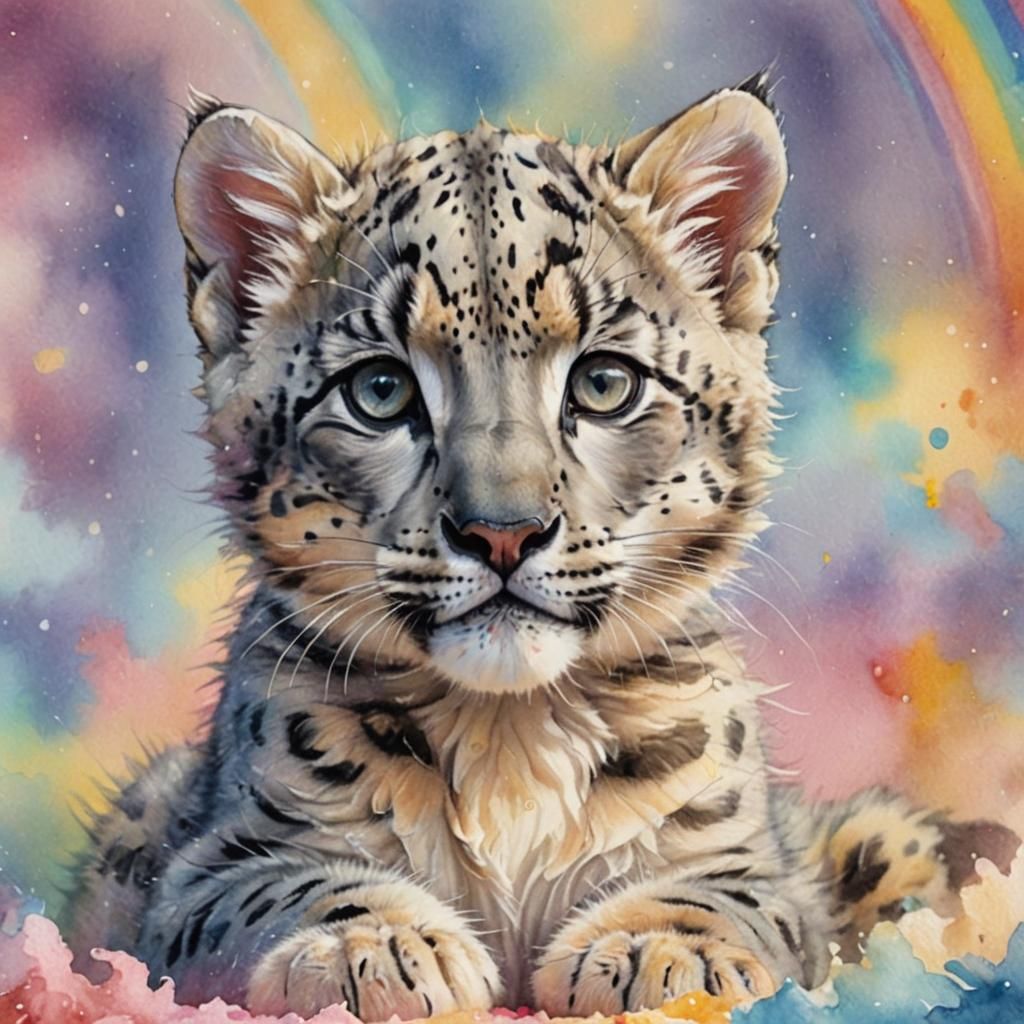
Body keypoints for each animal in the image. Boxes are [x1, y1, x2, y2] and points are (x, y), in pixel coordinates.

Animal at [64, 75, 1018, 1019]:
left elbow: (730, 897)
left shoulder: (748, 860)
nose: (502, 531)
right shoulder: (214, 861)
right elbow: (285, 884)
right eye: (380, 390)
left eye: (604, 383)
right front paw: (378, 947)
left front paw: (661, 951)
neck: (508, 736)